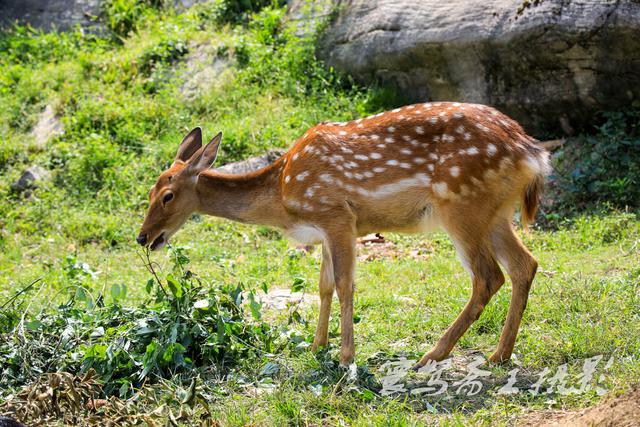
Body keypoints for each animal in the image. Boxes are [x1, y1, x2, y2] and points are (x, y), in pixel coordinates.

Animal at [139, 102, 552, 370]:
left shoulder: (337, 215)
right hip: (494, 213)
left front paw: (346, 357)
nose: (144, 237)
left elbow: (344, 285)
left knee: (488, 275)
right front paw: (316, 347)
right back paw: (499, 354)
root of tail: (532, 153)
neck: (283, 195)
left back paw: (433, 355)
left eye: (167, 195)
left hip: (461, 205)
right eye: (149, 191)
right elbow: (323, 287)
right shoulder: (323, 231)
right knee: (525, 264)